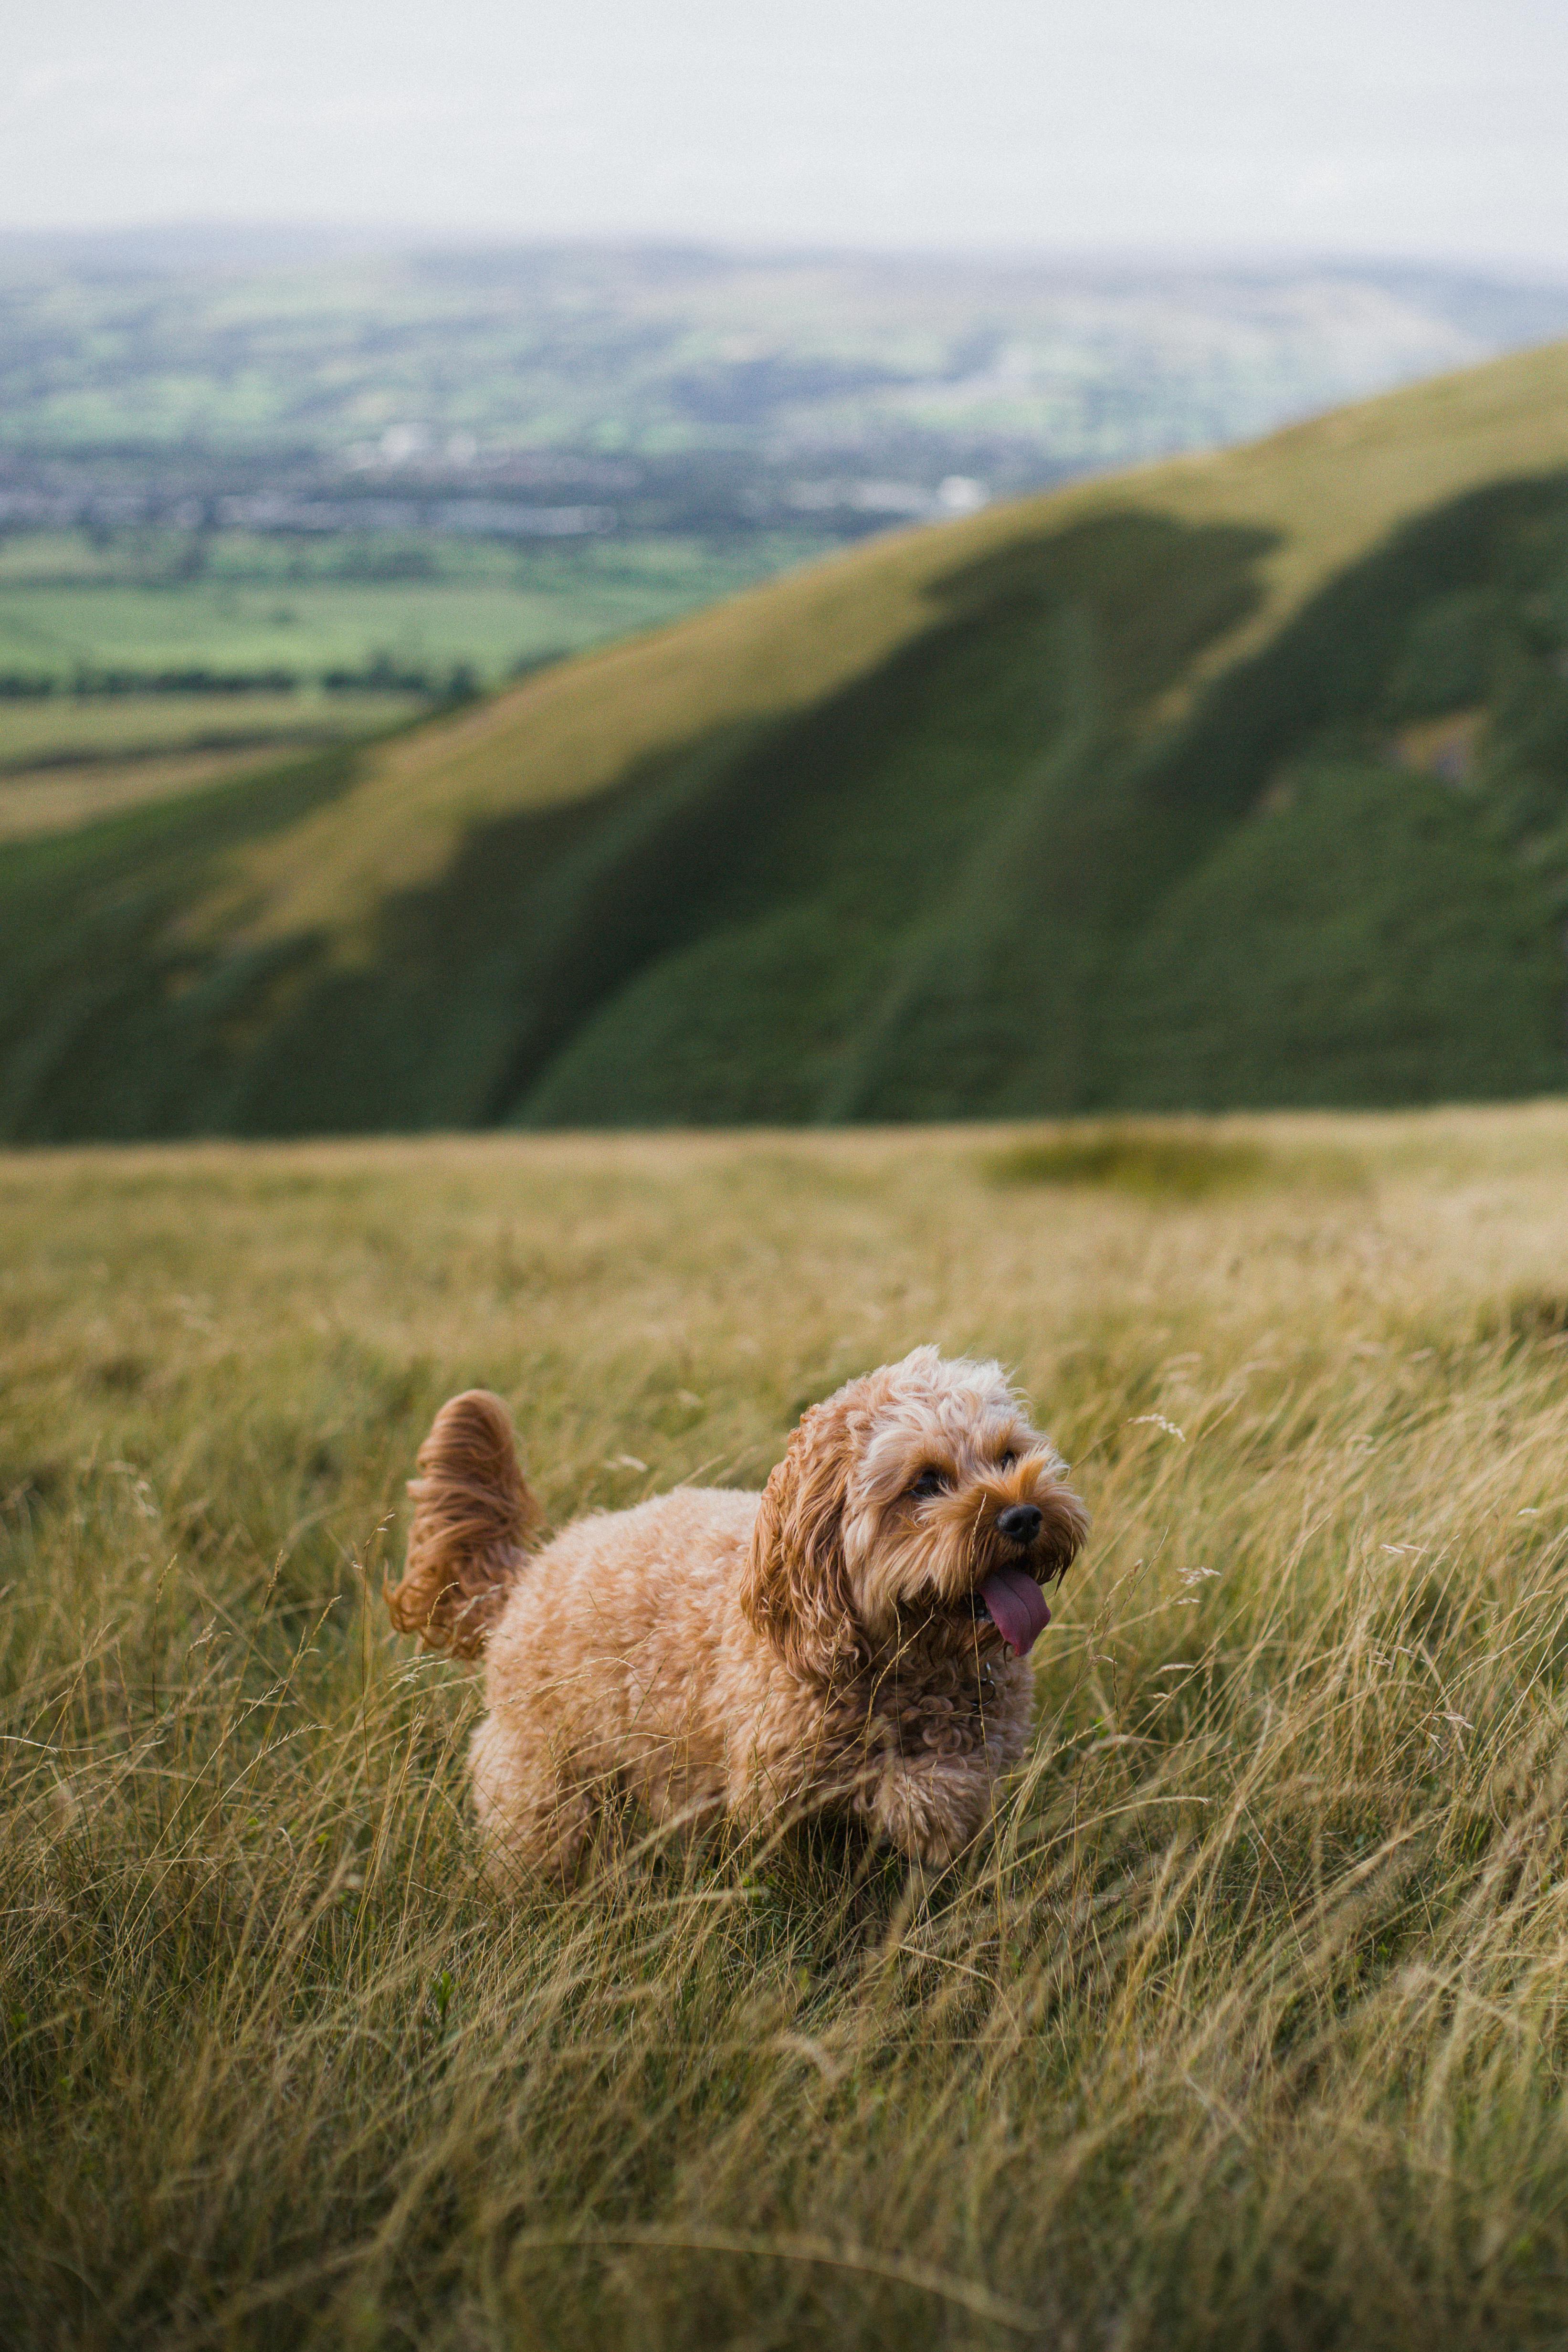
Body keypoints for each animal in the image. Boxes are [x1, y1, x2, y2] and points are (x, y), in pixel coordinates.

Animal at [383, 1354, 1091, 1881]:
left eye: (1008, 1456)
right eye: (924, 1482)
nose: (1024, 1516)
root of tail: (525, 1576)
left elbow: (951, 1782)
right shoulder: (780, 1783)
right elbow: (909, 1795)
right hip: (542, 1775)